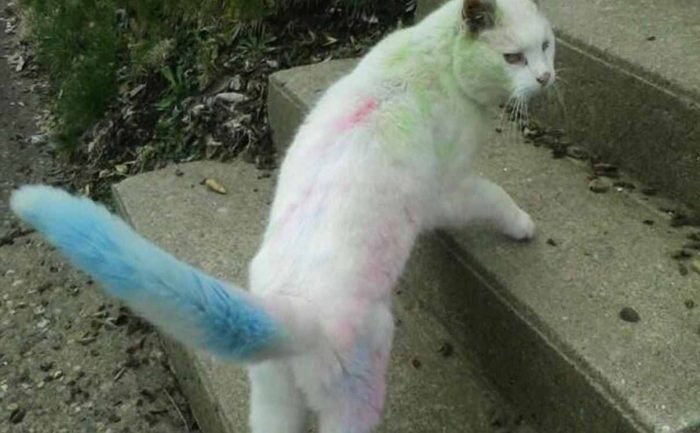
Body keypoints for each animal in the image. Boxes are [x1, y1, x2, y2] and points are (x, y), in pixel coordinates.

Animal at [10, 0, 556, 432]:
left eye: (547, 46)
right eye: (513, 57)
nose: (546, 77)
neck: (434, 58)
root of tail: (289, 308)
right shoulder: (448, 189)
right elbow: (492, 196)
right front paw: (523, 226)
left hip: (273, 397)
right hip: (357, 388)